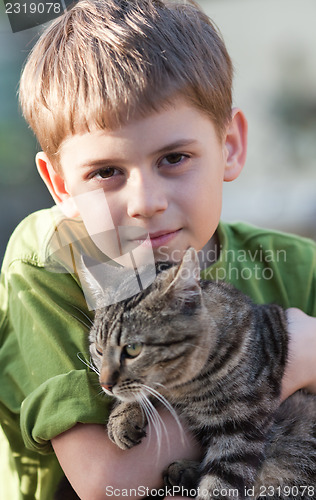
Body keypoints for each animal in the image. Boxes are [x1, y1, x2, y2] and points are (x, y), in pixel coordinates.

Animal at [86, 248, 316, 498]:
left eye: (133, 349)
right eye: (98, 350)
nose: (105, 384)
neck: (185, 388)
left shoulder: (243, 428)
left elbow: (219, 487)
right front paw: (122, 416)